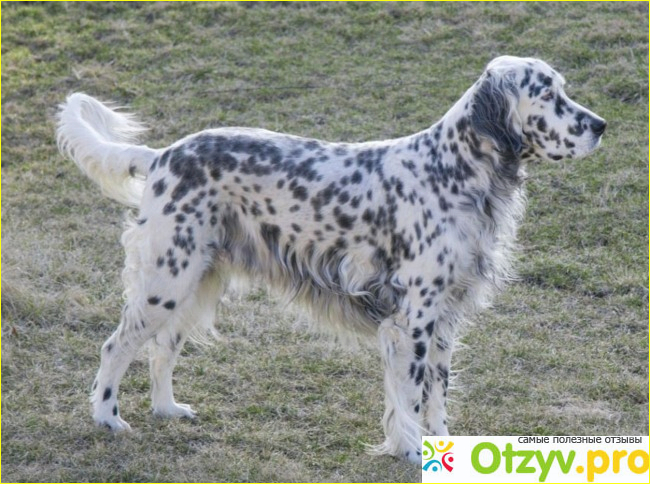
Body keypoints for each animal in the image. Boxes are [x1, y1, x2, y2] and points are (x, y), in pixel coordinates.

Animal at [57, 56, 605, 462]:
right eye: (548, 94)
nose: (601, 125)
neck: (452, 171)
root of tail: (162, 156)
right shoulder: (411, 320)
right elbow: (409, 400)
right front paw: (410, 452)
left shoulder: (445, 320)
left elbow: (437, 400)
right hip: (166, 280)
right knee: (116, 346)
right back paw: (107, 417)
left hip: (197, 282)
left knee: (161, 349)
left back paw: (167, 408)